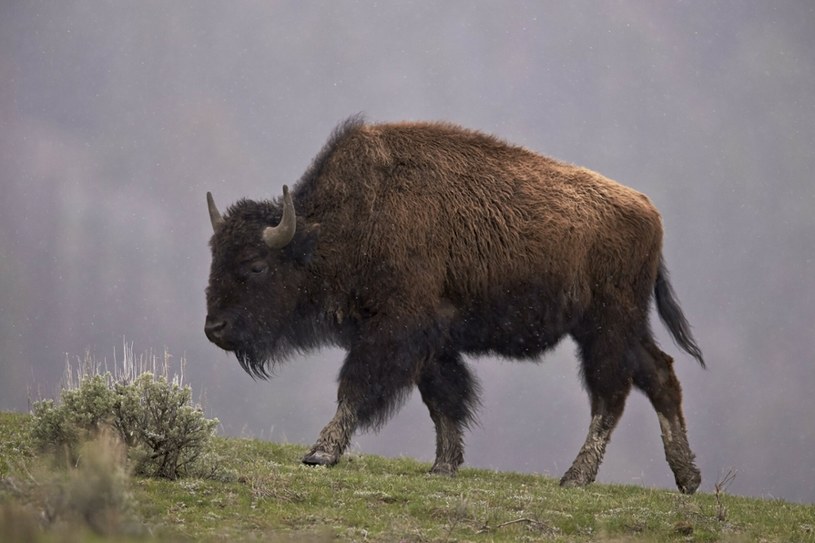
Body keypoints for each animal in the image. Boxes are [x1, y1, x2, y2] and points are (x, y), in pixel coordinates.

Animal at [206, 117, 708, 496]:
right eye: (215, 256)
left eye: (255, 266)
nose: (214, 328)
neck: (346, 222)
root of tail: (649, 212)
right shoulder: (433, 341)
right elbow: (444, 399)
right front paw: (443, 466)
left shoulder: (395, 331)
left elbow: (358, 387)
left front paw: (320, 453)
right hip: (621, 326)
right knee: (659, 374)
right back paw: (687, 478)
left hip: (605, 326)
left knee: (611, 394)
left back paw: (576, 477)